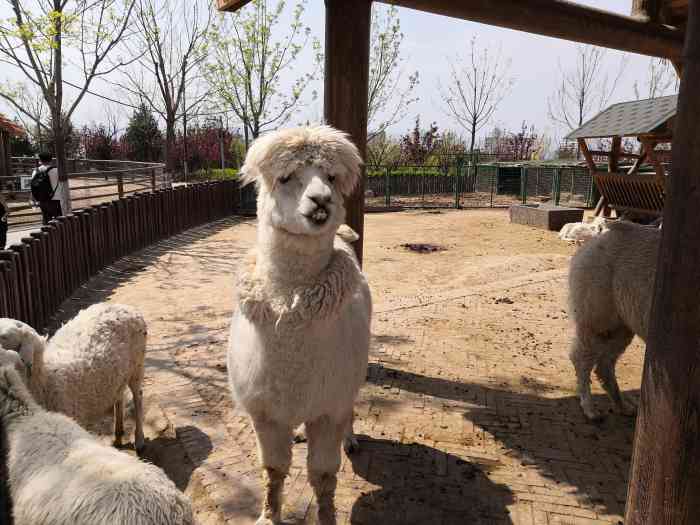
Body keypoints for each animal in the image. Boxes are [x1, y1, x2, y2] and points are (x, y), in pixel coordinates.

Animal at [0, 302, 146, 450]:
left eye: (4, 336)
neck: (46, 382)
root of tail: (123, 306)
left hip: (137, 365)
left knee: (138, 396)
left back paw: (139, 439)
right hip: (120, 375)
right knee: (119, 395)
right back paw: (118, 432)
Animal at [228, 127, 372, 524]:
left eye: (332, 178)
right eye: (285, 177)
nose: (321, 201)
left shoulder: (327, 408)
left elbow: (322, 477)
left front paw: (326, 516)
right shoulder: (265, 415)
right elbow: (274, 470)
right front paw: (268, 515)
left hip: (348, 381)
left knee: (351, 407)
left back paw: (351, 439)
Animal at [568, 219, 660, 420]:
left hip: (622, 322)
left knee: (604, 363)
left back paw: (623, 406)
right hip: (597, 312)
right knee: (582, 357)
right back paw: (590, 410)